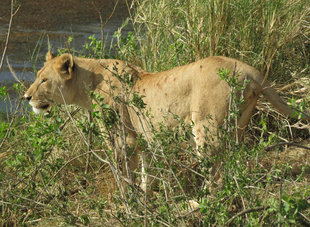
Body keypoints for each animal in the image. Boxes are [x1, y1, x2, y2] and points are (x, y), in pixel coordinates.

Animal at [24, 52, 310, 192]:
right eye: (37, 77)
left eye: (44, 80)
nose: (26, 97)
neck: (90, 82)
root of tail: (247, 69)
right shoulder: (143, 138)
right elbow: (146, 171)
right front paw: (144, 194)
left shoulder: (122, 137)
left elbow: (123, 172)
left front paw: (127, 198)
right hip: (238, 127)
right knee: (233, 162)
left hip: (206, 128)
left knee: (216, 171)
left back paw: (201, 202)